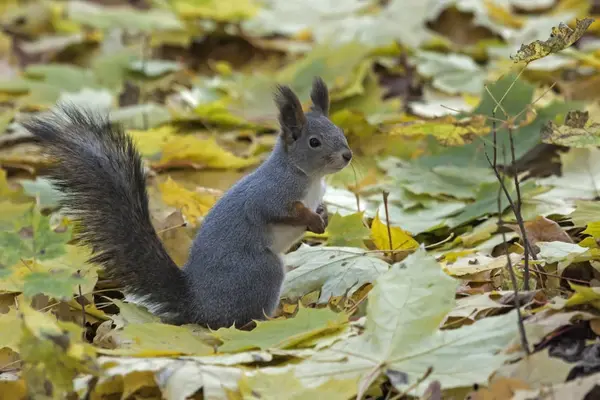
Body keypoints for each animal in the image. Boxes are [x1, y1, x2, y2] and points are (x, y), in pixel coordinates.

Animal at [22, 76, 352, 330]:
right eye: (314, 142)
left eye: (340, 131)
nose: (347, 155)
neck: (310, 178)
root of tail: (197, 305)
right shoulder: (271, 192)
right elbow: (277, 210)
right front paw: (311, 218)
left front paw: (323, 217)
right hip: (260, 272)